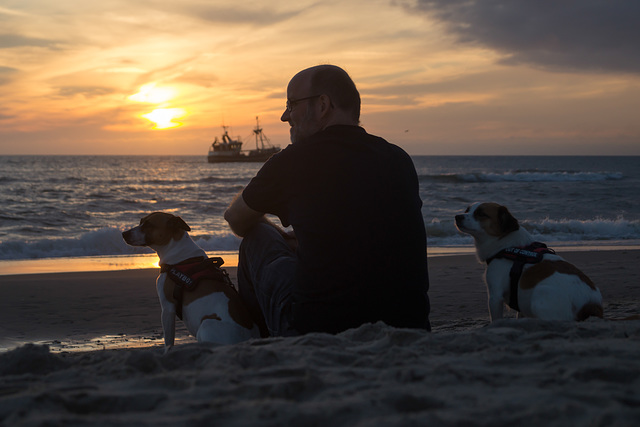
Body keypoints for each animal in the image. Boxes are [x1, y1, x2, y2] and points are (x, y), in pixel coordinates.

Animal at [122, 212, 262, 352]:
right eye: (141, 221)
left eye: (148, 225)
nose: (124, 233)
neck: (178, 254)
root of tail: (248, 338)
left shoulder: (167, 308)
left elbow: (169, 341)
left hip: (207, 324)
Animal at [452, 203, 604, 320]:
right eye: (467, 210)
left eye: (480, 213)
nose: (457, 216)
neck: (505, 245)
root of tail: (591, 304)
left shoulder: (495, 296)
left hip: (539, 298)